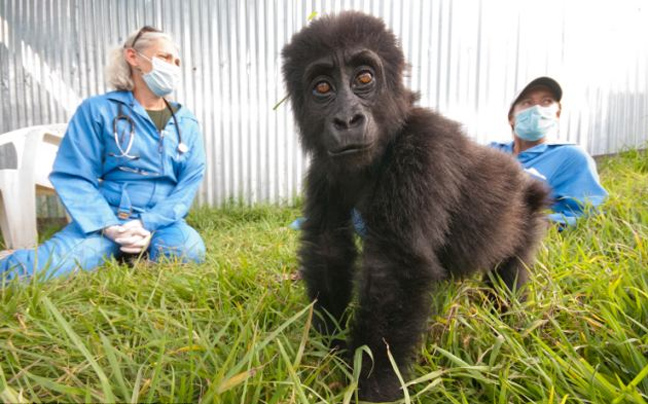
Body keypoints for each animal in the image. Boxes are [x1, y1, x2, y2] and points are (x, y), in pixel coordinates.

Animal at [280, 11, 548, 402]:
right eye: (323, 88)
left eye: (364, 78)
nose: (346, 119)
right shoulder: (324, 169)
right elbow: (329, 248)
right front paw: (323, 349)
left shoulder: (424, 148)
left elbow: (393, 270)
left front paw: (374, 383)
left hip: (530, 208)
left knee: (511, 268)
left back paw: (506, 314)